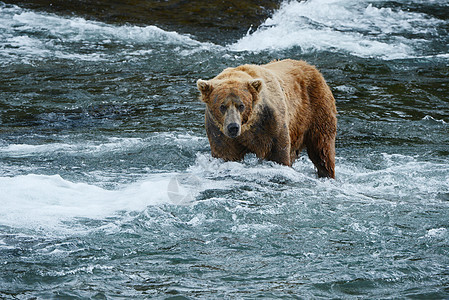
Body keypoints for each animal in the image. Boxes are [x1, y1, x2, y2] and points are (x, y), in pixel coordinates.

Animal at [196, 58, 336, 178]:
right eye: (222, 106)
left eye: (241, 105)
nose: (233, 127)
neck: (249, 126)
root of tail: (310, 66)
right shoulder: (218, 131)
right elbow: (226, 153)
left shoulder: (272, 123)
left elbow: (279, 154)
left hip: (317, 109)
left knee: (322, 149)